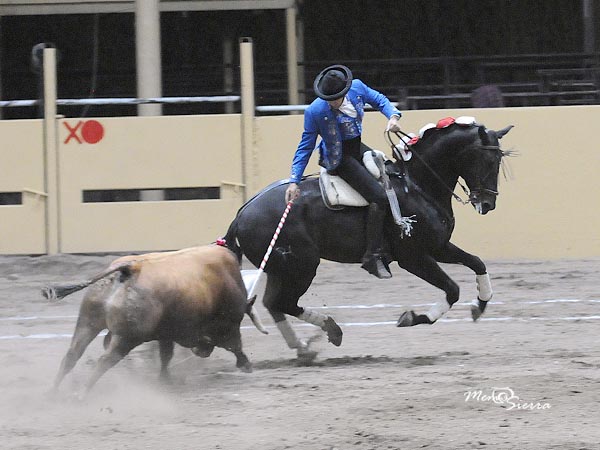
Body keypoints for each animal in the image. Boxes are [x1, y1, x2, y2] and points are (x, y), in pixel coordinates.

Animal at [42, 244, 264, 396]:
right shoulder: (230, 323)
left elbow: (166, 356)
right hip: (126, 338)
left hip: (88, 322)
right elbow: (236, 345)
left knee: (71, 355)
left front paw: (164, 379)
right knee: (105, 360)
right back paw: (82, 393)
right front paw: (246, 365)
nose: (202, 351)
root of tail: (129, 268)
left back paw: (52, 393)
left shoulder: (166, 334)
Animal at [223, 118, 512, 356]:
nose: (488, 203)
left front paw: (480, 304)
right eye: (488, 161)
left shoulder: (438, 246)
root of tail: (242, 215)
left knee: (273, 304)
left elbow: (476, 262)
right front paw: (413, 318)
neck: (416, 185)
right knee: (284, 302)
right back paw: (331, 330)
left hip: (280, 269)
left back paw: (304, 347)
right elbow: (452, 289)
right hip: (302, 266)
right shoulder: (414, 257)